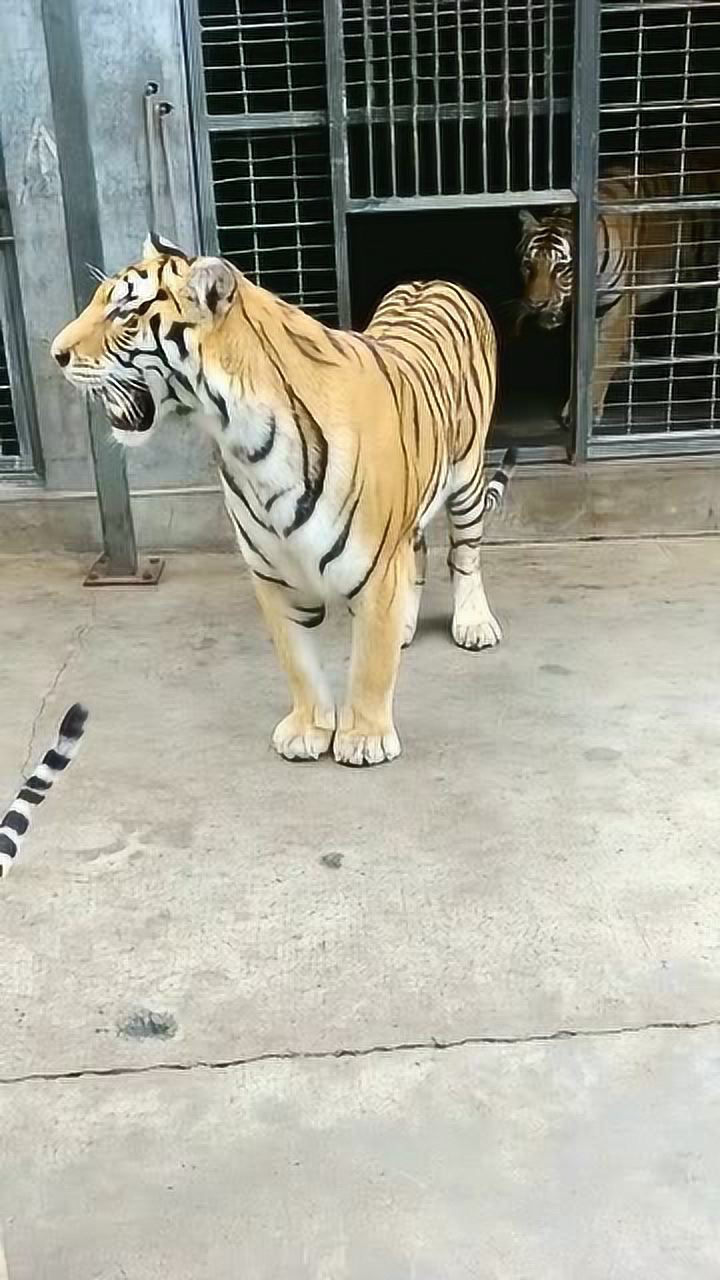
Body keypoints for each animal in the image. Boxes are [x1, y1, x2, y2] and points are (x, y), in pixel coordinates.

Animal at [51, 235, 514, 767]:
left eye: (124, 314)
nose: (55, 354)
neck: (243, 442)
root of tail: (433, 278)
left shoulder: (376, 567)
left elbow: (370, 665)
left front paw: (365, 739)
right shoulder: (272, 572)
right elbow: (298, 661)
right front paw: (309, 730)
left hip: (467, 475)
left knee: (466, 554)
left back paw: (474, 623)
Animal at [516, 164, 720, 423]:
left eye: (560, 268)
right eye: (528, 265)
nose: (536, 304)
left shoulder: (616, 308)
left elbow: (603, 359)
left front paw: (588, 409)